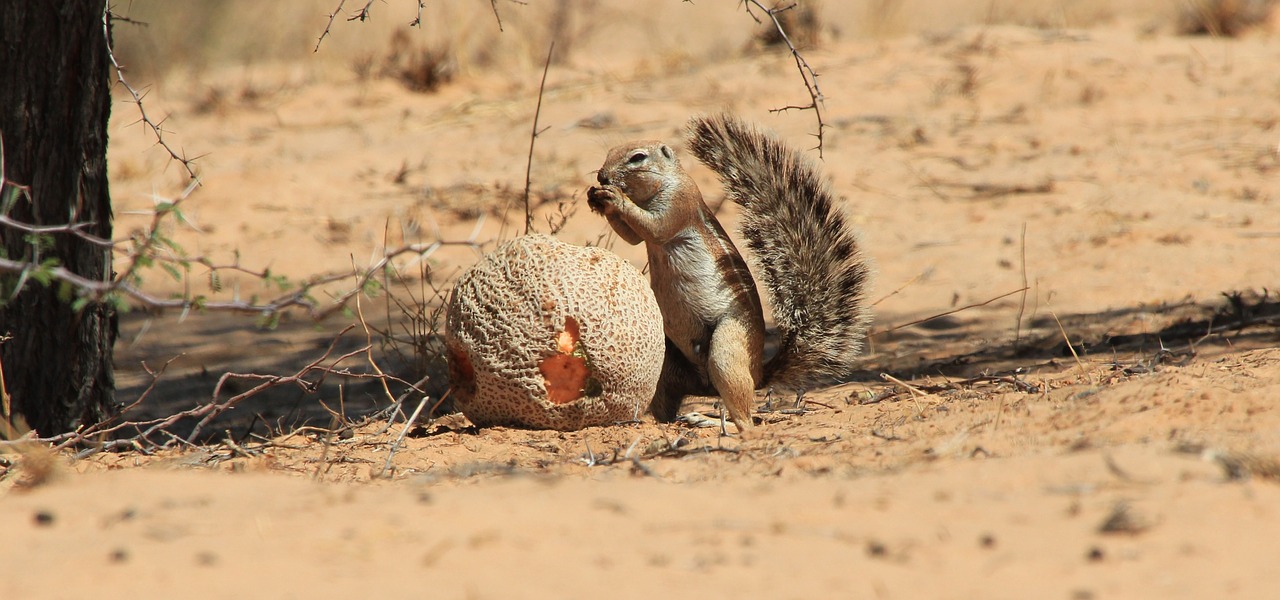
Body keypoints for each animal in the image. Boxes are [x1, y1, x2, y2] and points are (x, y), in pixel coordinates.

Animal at [586, 113, 870, 429]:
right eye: (610, 153)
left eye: (637, 157)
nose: (602, 177)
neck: (665, 182)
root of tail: (758, 374)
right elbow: (633, 237)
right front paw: (596, 198)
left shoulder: (679, 202)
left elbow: (655, 228)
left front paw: (613, 197)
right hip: (665, 362)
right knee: (668, 406)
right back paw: (667, 422)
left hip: (727, 347)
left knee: (745, 418)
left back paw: (710, 421)